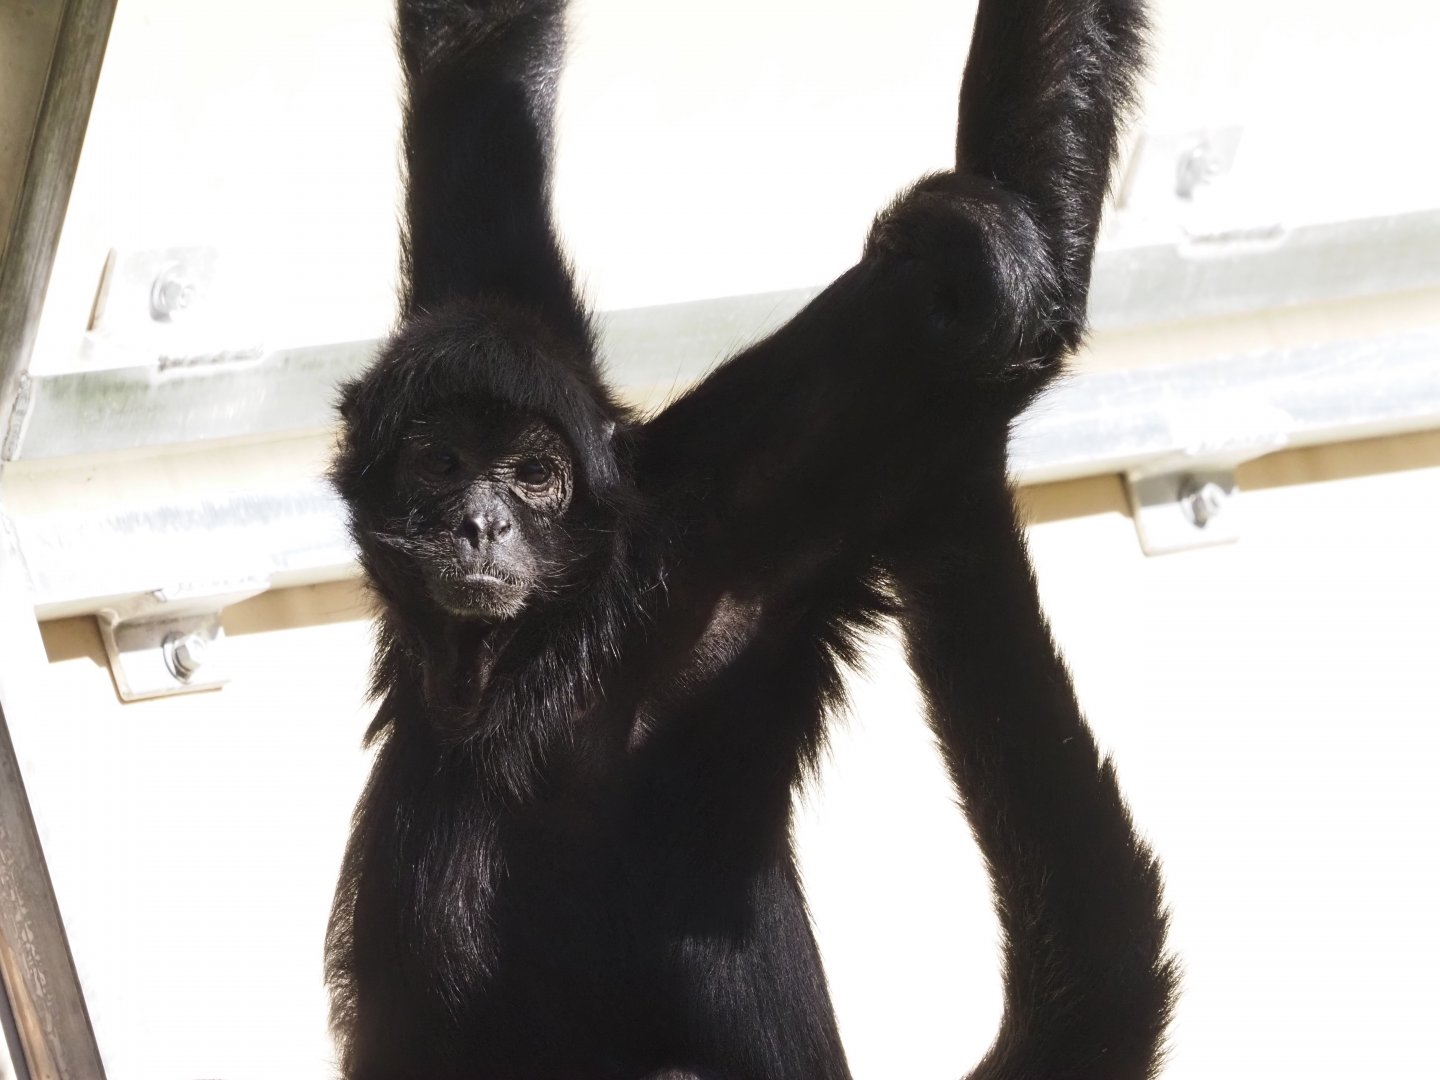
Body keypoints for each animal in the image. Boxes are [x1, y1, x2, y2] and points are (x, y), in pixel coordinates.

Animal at [325, 0, 1176, 1077]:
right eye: (440, 466)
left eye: (534, 477)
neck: (529, 659)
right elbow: (477, 65)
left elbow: (996, 313)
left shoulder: (717, 554)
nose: (484, 523)